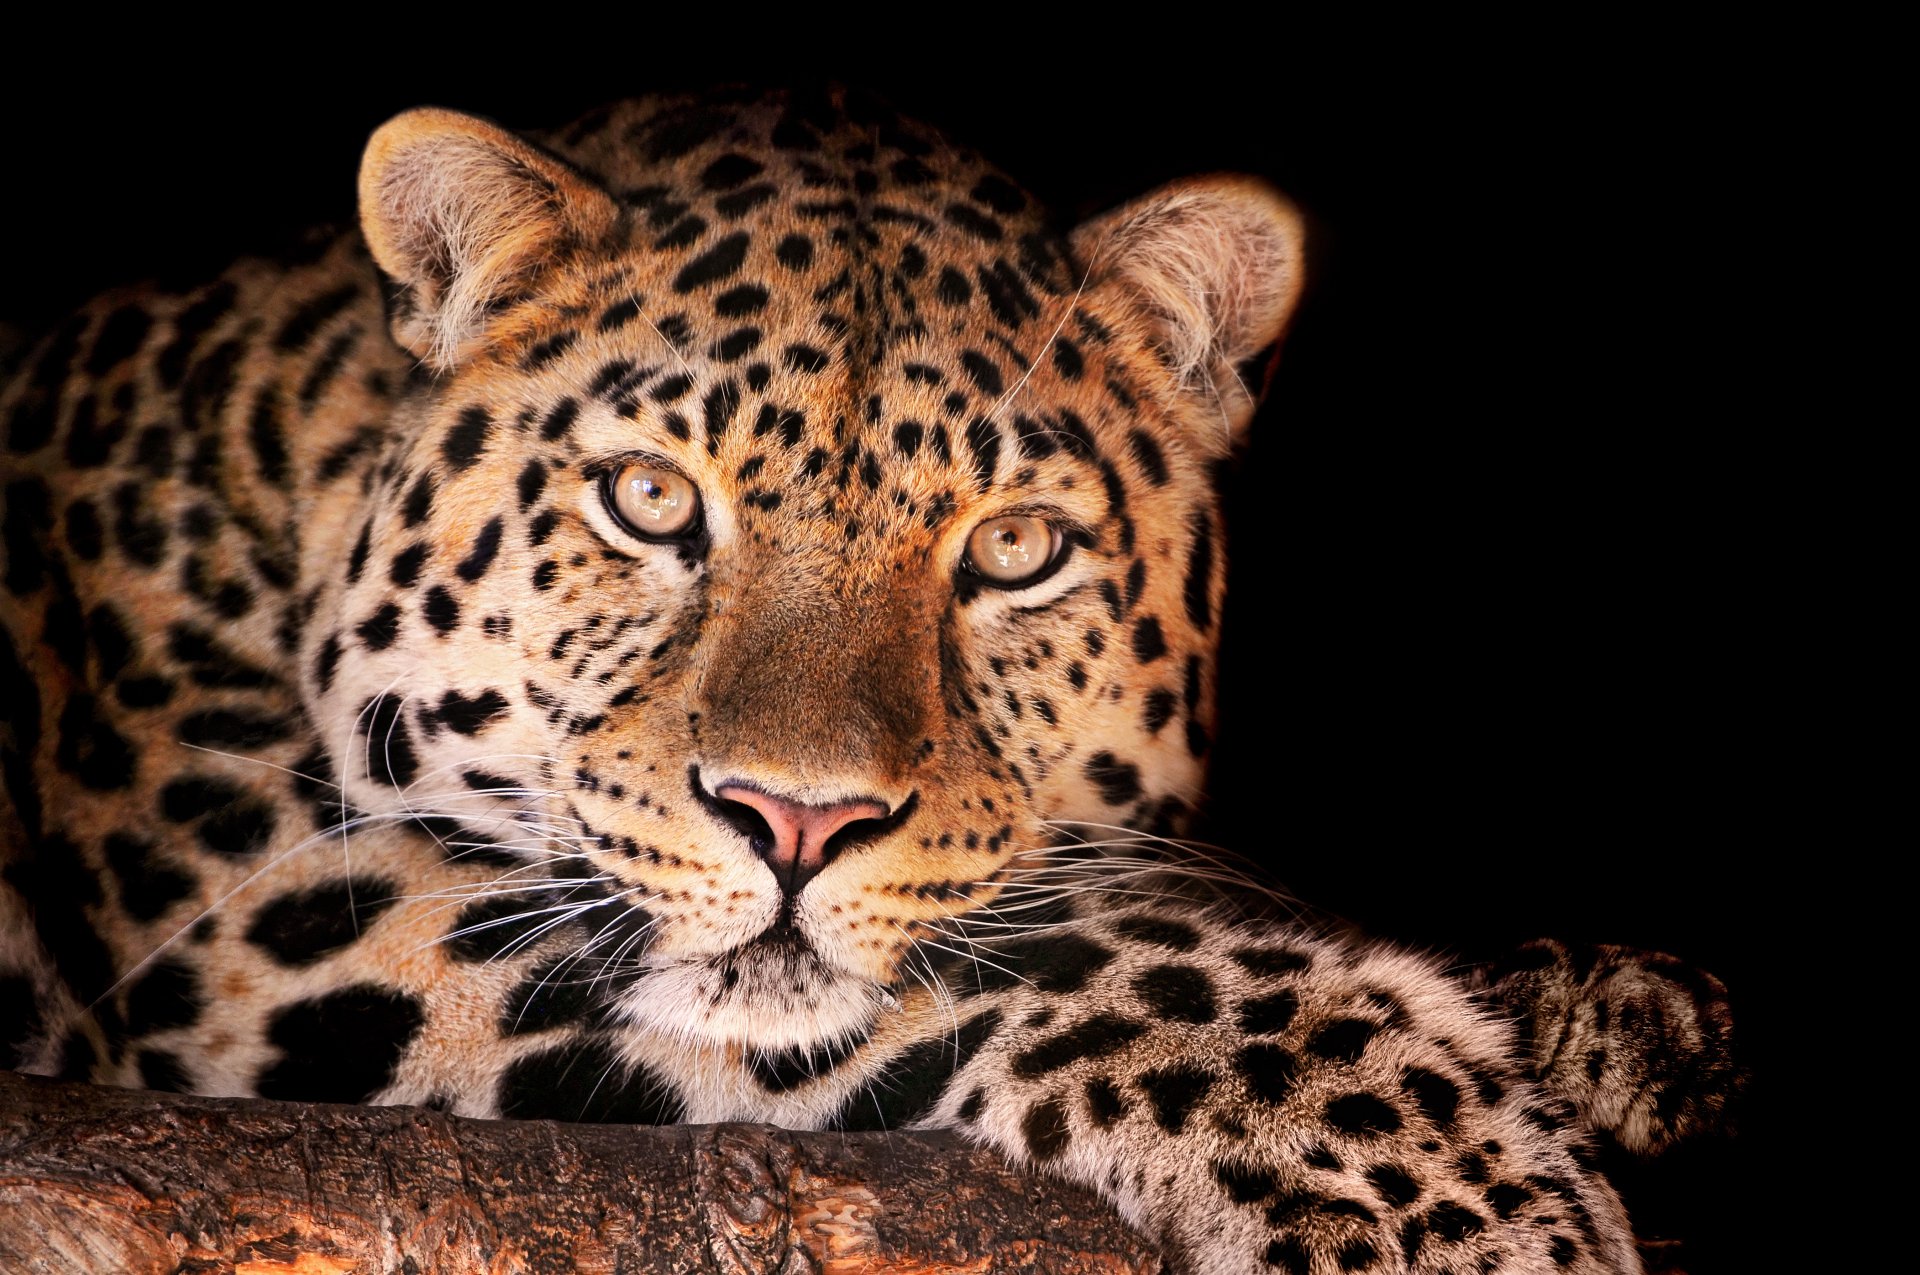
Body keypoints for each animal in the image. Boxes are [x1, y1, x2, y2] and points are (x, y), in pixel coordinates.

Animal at [0, 88, 1737, 1273]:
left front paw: (1609, 1015)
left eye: (1015, 547)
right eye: (650, 499)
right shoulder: (261, 920)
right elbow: (1046, 949)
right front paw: (1436, 1176)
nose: (795, 820)